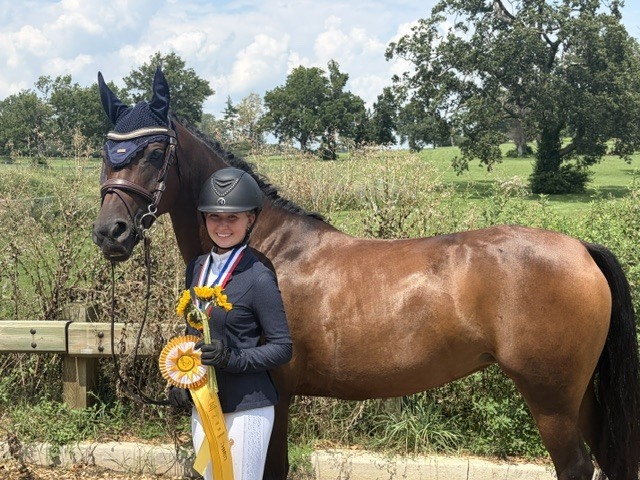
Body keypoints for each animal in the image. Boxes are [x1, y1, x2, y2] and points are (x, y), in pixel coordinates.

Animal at [92, 68, 640, 480]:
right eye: (106, 152)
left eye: (155, 153)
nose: (110, 232)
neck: (266, 248)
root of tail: (582, 249)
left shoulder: (277, 396)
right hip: (578, 396)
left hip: (551, 398)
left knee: (576, 466)